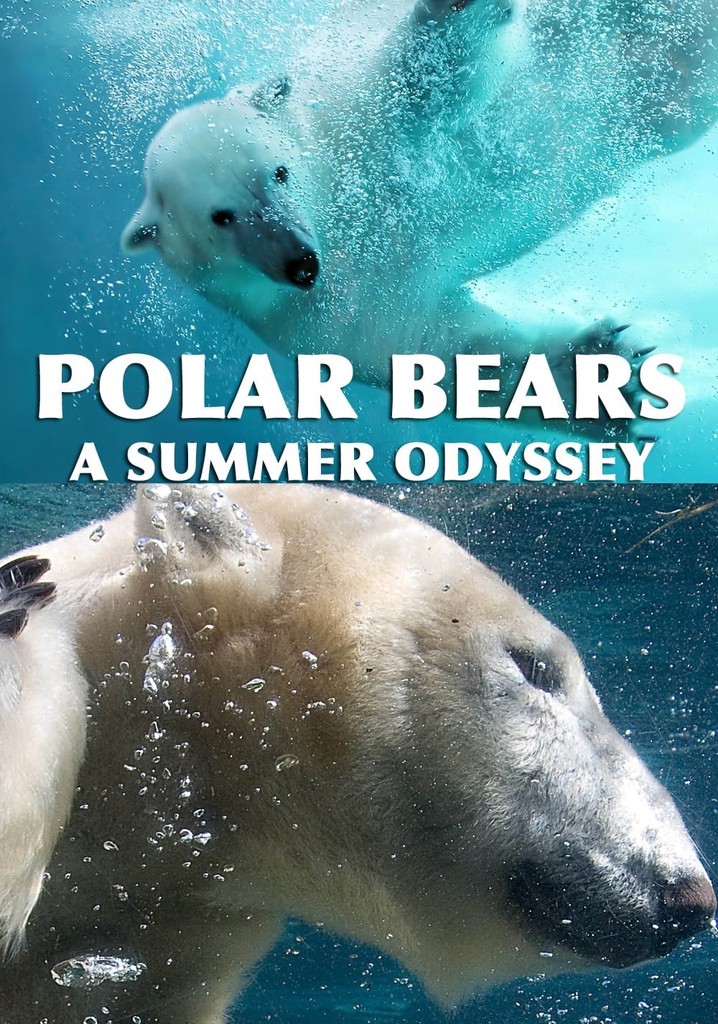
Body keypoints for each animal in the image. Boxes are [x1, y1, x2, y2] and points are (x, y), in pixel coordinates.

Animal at [119, 0, 718, 404]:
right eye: (221, 217)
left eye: (278, 173)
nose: (301, 264)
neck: (338, 212)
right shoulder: (320, 318)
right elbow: (440, 351)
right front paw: (599, 376)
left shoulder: (361, 122)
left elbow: (430, 77)